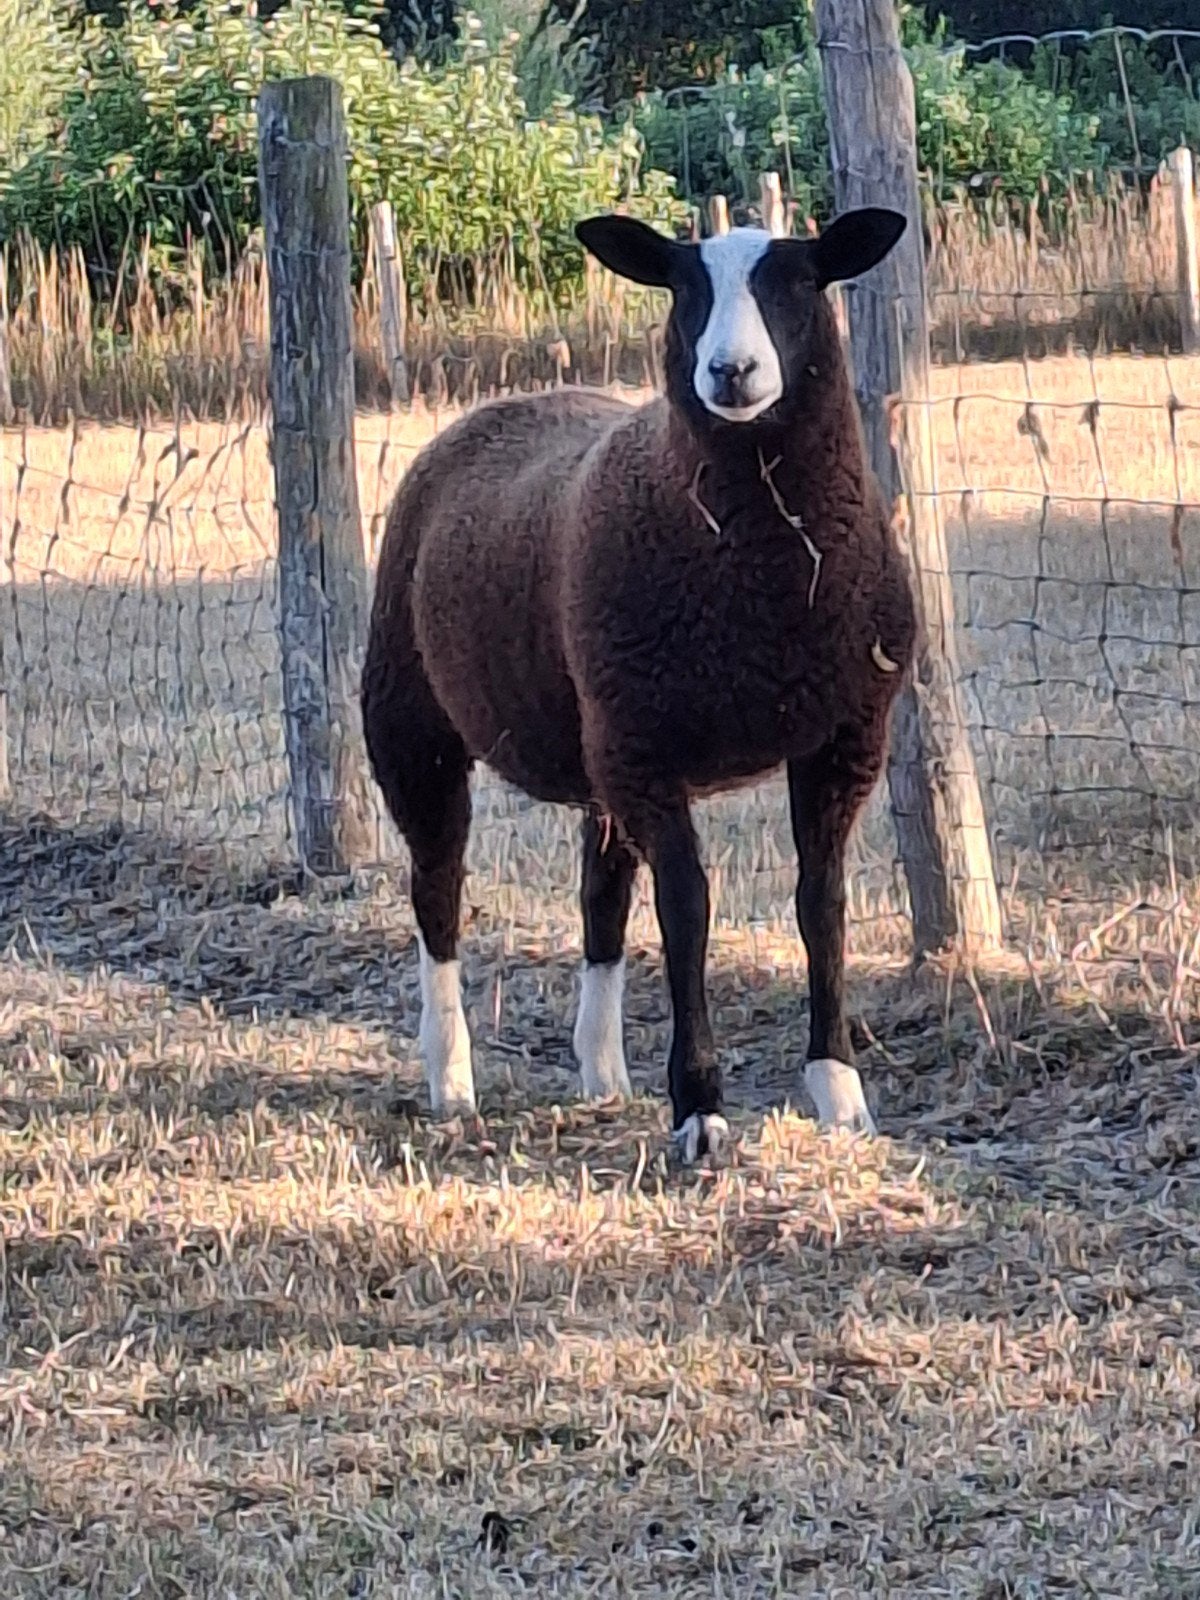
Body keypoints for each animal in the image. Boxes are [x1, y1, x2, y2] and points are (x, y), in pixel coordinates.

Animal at [361, 206, 917, 1162]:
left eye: (800, 282)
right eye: (683, 288)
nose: (731, 371)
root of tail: (504, 406)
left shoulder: (845, 736)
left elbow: (822, 903)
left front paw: (840, 1093)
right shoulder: (651, 753)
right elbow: (688, 909)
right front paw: (699, 1108)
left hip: (600, 746)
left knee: (601, 898)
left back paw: (601, 1071)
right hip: (413, 723)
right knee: (437, 893)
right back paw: (452, 1081)